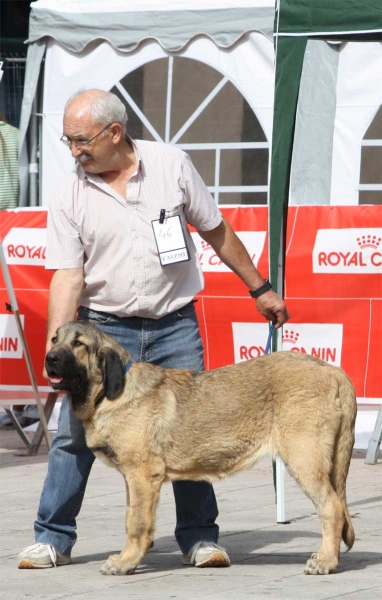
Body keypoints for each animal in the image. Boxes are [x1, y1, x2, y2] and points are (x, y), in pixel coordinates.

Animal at [46, 322, 356, 576]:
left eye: (79, 343)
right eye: (54, 340)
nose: (50, 359)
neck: (107, 395)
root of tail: (335, 372)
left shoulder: (142, 476)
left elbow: (137, 523)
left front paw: (126, 562)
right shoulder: (132, 480)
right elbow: (130, 519)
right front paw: (127, 557)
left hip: (305, 460)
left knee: (332, 508)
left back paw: (326, 562)